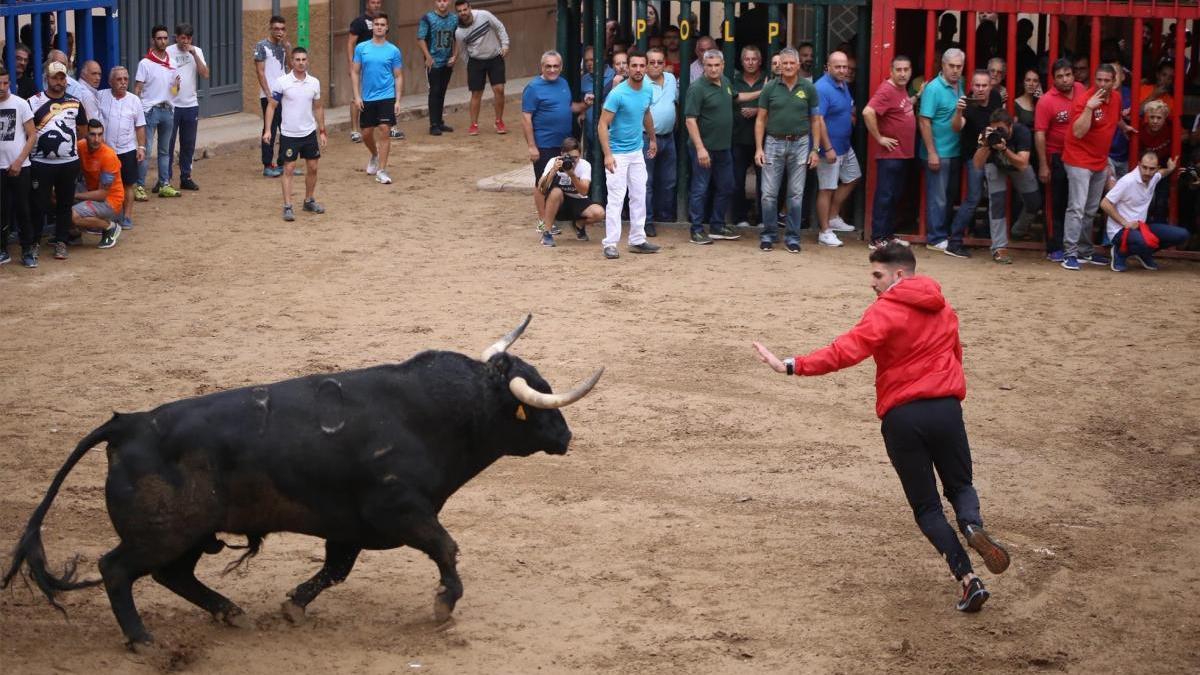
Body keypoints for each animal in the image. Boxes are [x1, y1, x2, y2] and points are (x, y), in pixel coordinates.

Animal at [0, 314, 600, 648]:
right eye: (539, 401)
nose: (566, 435)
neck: (435, 412)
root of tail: (127, 424)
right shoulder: (402, 511)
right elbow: (446, 549)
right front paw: (442, 606)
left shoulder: (349, 528)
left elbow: (334, 571)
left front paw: (293, 606)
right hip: (162, 532)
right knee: (117, 570)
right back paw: (142, 639)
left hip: (192, 534)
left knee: (174, 575)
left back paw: (231, 613)